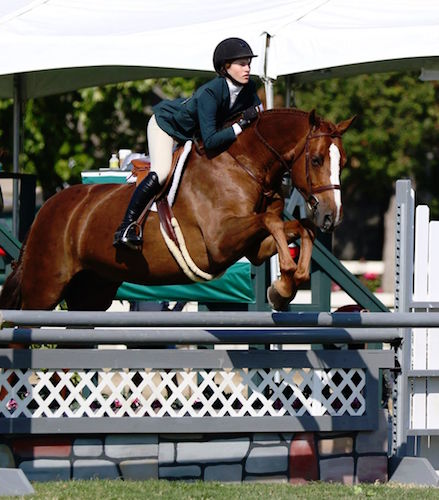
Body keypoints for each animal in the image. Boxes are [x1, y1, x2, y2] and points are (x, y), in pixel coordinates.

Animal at [0, 108, 356, 312]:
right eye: (316, 160)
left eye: (343, 161)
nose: (332, 216)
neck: (243, 165)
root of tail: (47, 207)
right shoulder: (219, 241)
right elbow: (273, 220)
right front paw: (283, 284)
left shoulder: (252, 247)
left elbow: (298, 229)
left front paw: (286, 286)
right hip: (44, 289)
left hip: (92, 292)